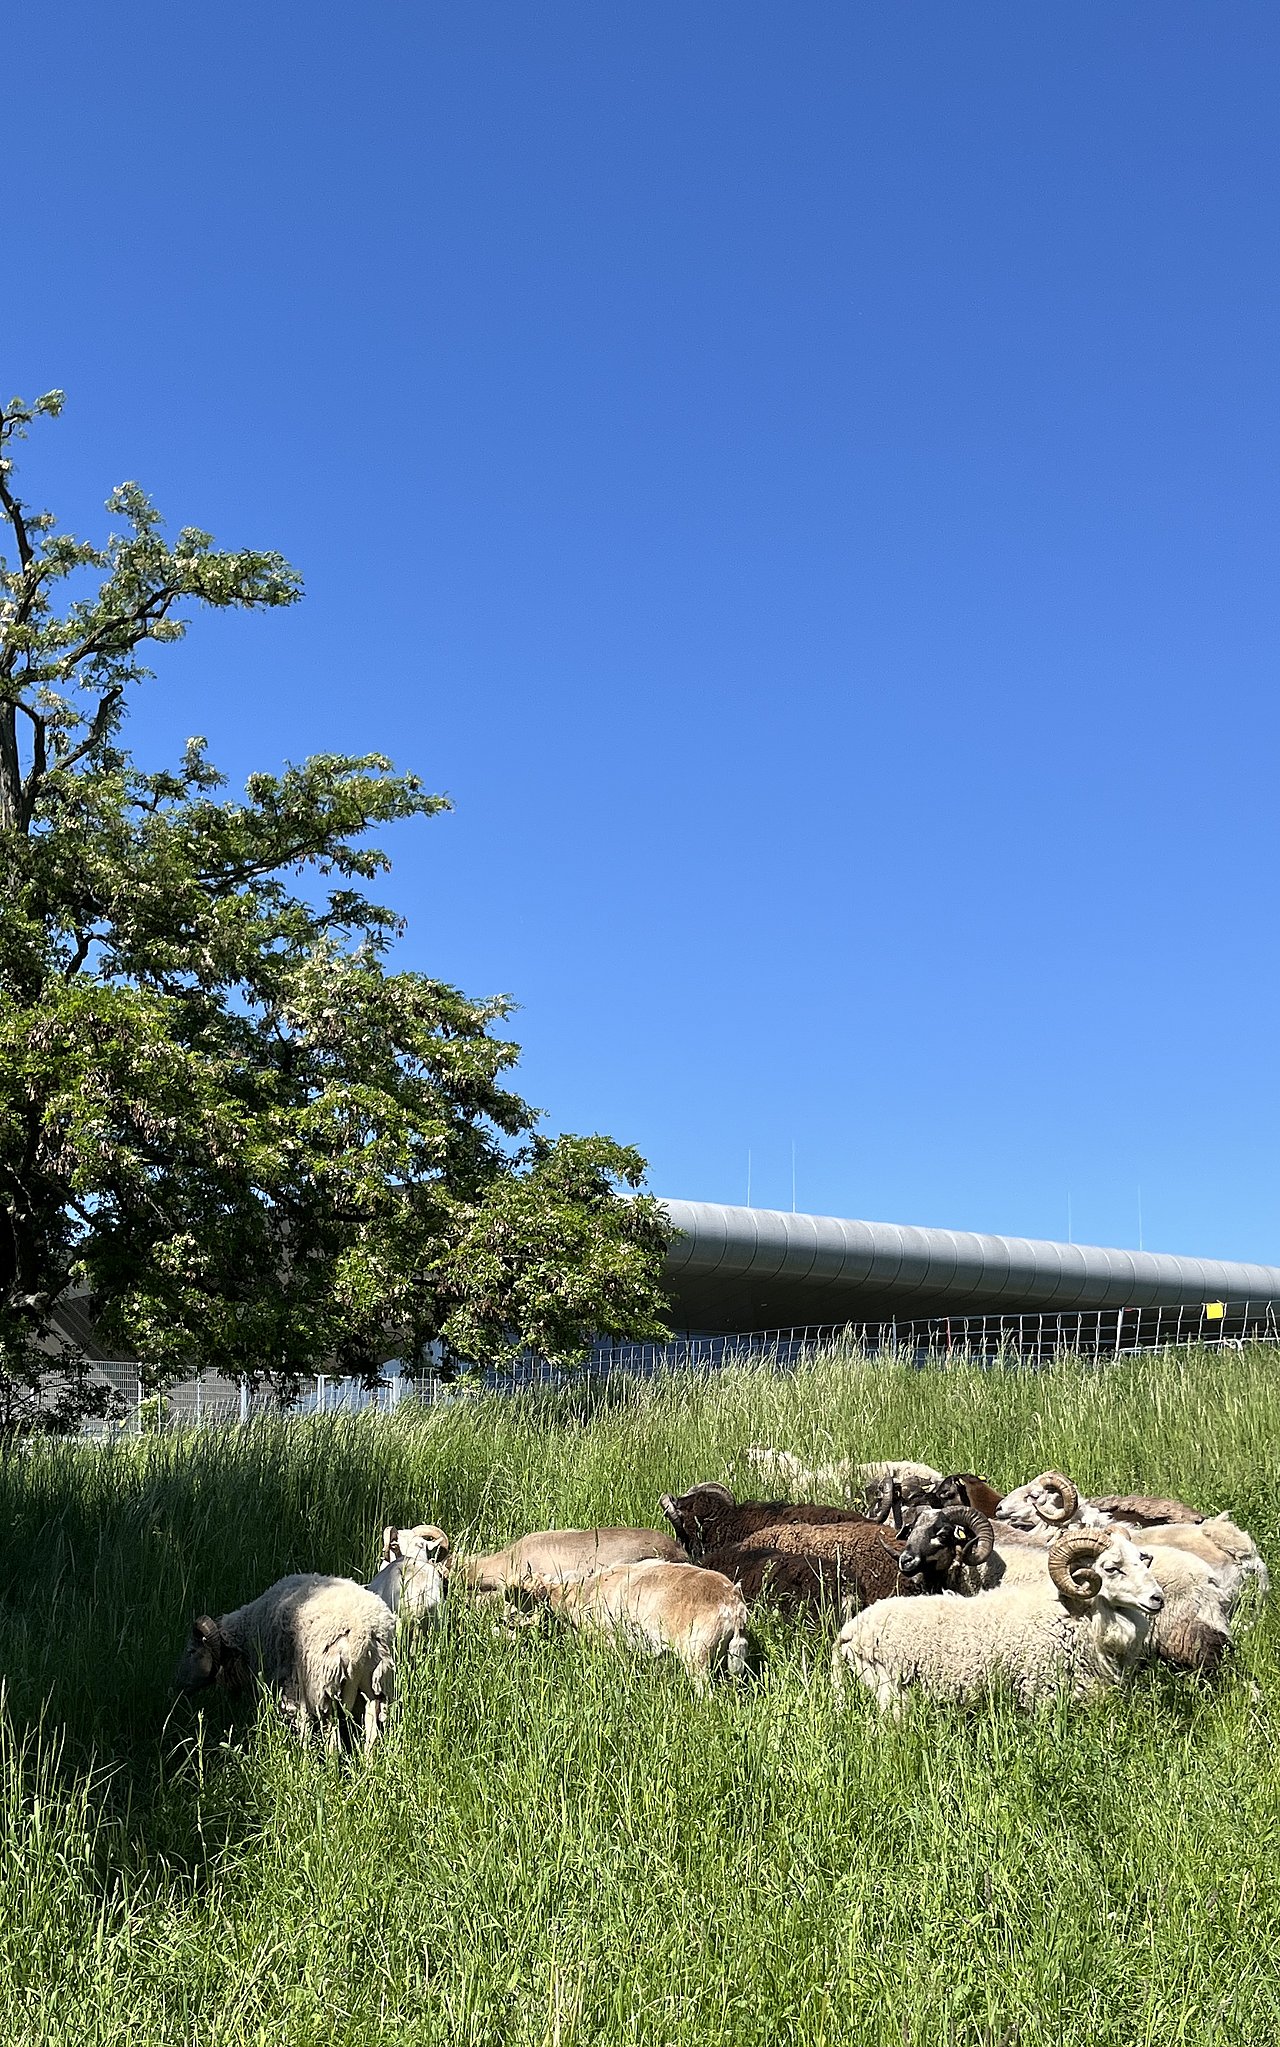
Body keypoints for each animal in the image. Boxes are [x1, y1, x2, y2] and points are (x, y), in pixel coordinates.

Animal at [173, 1574, 396, 1750]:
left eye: (191, 1651)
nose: (176, 1688)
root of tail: (362, 1633)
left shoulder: (293, 1691)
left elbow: (303, 1728)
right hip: (376, 1686)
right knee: (372, 1736)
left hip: (324, 1687)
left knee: (333, 1744)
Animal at [832, 1526, 1165, 1713]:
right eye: (1111, 1568)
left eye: (1141, 1559)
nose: (1158, 1599)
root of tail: (851, 1630)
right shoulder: (1040, 1694)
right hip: (891, 1695)